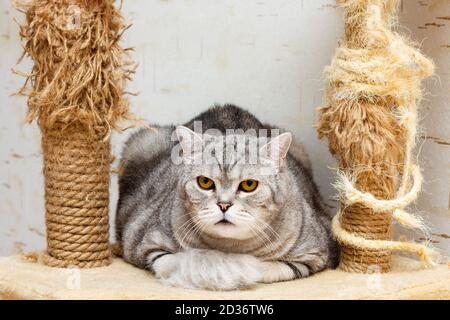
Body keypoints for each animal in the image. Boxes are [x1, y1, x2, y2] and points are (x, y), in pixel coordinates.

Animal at [116, 105, 338, 290]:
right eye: (205, 182)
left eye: (249, 185)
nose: (223, 205)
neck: (229, 246)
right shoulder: (143, 242)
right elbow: (176, 262)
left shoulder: (315, 252)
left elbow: (266, 268)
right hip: (143, 138)